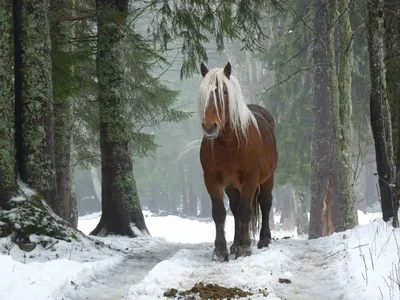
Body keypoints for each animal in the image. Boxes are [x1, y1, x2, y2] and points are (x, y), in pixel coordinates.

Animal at [197, 61, 278, 260]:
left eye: (224, 92)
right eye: (204, 92)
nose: (210, 126)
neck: (230, 144)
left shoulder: (250, 179)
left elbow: (246, 210)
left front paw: (245, 247)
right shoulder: (212, 180)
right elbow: (220, 213)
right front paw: (221, 250)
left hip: (268, 178)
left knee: (265, 204)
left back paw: (263, 240)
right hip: (232, 186)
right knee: (234, 208)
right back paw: (234, 244)